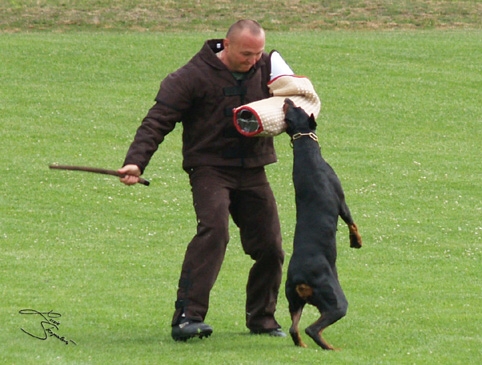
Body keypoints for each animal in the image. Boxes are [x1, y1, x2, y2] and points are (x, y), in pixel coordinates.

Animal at [282, 98, 362, 348]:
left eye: (291, 109)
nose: (286, 99)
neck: (308, 155)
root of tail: (300, 278)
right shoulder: (341, 201)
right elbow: (352, 223)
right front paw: (356, 242)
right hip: (335, 300)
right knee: (312, 328)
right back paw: (331, 348)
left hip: (293, 299)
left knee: (294, 329)